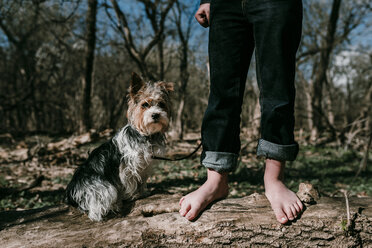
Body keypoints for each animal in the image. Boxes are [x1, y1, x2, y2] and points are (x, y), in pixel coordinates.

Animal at [65, 72, 173, 221]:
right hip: (103, 188)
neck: (146, 135)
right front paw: (134, 195)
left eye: (162, 104)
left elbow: (141, 180)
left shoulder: (145, 165)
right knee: (96, 210)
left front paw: (142, 192)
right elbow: (132, 181)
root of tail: (72, 192)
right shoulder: (128, 166)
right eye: (145, 105)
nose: (156, 114)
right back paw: (114, 205)